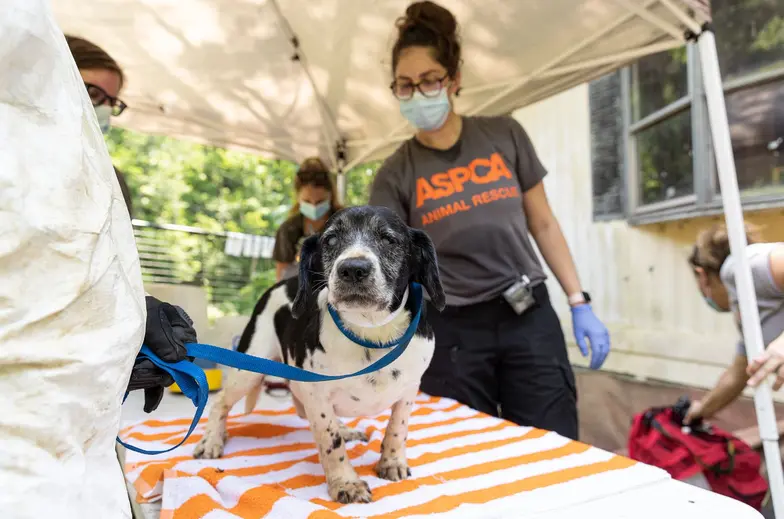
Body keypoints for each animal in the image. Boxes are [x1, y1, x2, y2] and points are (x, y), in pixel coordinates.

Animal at [193, 206, 444, 504]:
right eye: (331, 239)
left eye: (388, 239)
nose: (353, 269)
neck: (371, 334)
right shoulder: (317, 394)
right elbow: (331, 441)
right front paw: (346, 482)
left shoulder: (409, 390)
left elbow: (398, 428)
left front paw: (392, 462)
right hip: (249, 369)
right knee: (220, 401)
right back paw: (211, 440)